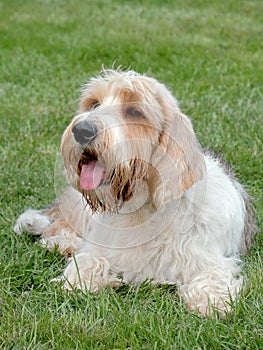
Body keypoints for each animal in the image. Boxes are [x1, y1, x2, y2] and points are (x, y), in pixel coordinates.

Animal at [13, 69, 256, 316]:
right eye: (94, 104)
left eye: (134, 112)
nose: (82, 130)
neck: (143, 208)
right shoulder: (101, 246)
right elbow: (88, 260)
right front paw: (75, 282)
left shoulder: (210, 259)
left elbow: (211, 277)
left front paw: (211, 302)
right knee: (55, 227)